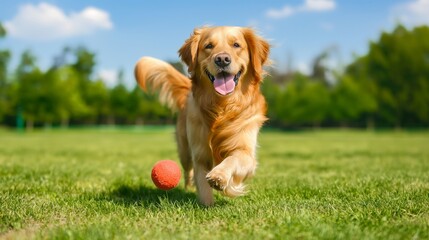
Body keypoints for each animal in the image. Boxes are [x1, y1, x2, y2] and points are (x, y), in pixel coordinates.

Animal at [135, 26, 268, 206]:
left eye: (236, 45)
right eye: (209, 46)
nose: (222, 60)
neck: (221, 107)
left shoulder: (246, 152)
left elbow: (232, 159)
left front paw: (219, 176)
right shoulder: (200, 154)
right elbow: (203, 185)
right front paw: (207, 205)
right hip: (184, 150)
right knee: (187, 171)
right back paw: (188, 188)